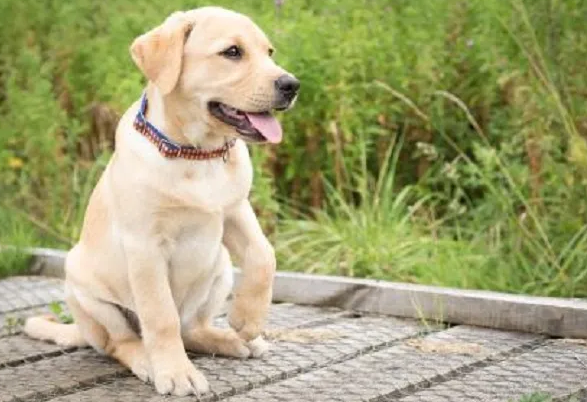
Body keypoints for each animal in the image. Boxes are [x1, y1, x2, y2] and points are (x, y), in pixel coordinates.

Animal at [23, 5, 298, 396]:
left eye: (269, 52)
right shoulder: (145, 246)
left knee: (192, 329)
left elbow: (264, 253)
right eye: (232, 52)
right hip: (84, 288)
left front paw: (248, 319)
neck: (197, 154)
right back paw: (147, 361)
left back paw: (233, 340)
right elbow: (160, 315)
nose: (292, 85)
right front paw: (176, 372)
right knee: (124, 342)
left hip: (219, 269)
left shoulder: (234, 211)